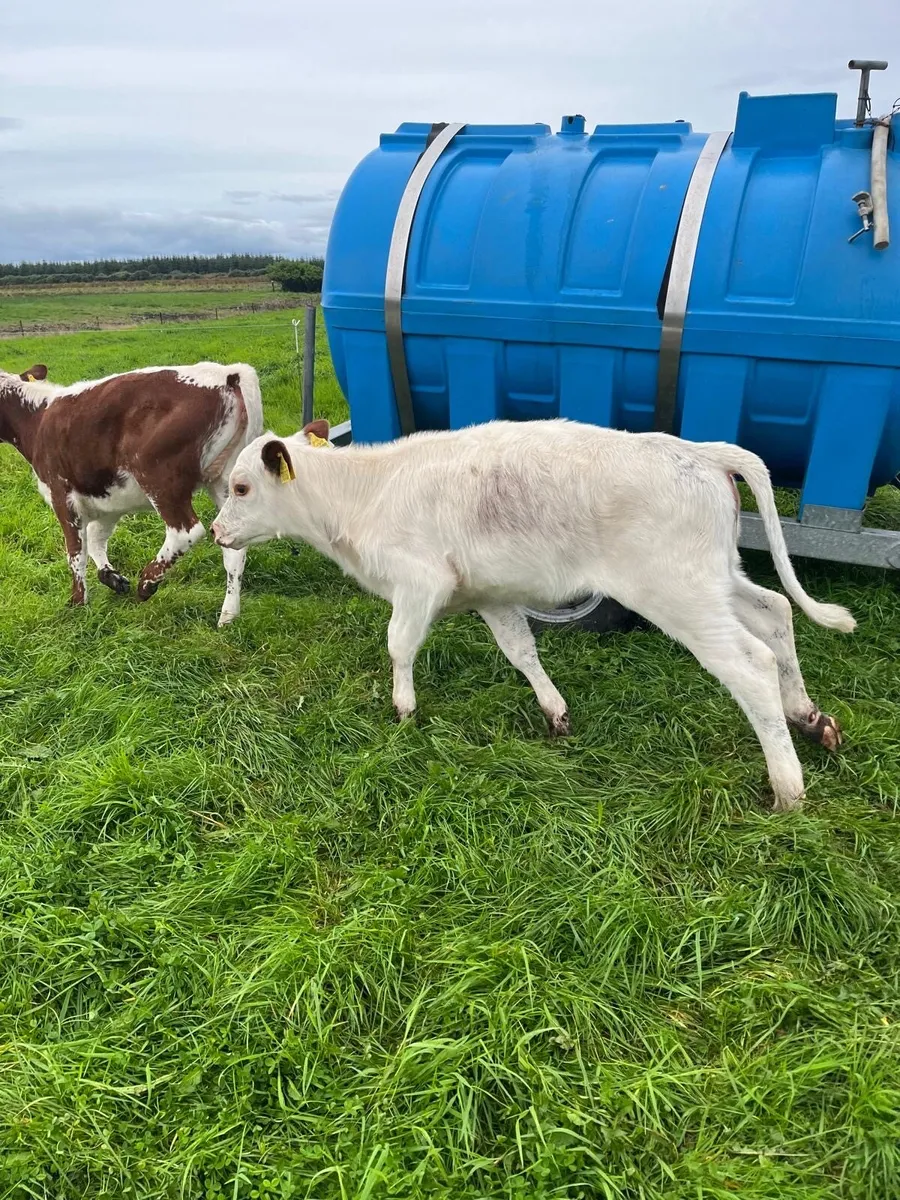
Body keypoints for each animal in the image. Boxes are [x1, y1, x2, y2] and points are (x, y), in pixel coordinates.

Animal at [0, 361, 264, 626]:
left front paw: (78, 603)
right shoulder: (107, 500)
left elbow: (76, 551)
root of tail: (228, 373)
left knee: (186, 530)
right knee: (233, 548)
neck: (37, 419)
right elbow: (96, 539)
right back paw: (227, 617)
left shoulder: (61, 493)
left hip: (158, 474)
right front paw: (112, 578)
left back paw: (146, 583)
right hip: (226, 482)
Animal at [211, 418, 856, 812]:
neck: (366, 493)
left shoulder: (419, 583)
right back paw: (810, 717)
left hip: (682, 596)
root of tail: (698, 450)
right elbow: (521, 651)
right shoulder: (491, 595)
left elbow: (398, 645)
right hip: (716, 582)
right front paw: (555, 713)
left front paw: (403, 711)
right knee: (776, 612)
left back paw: (787, 786)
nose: (215, 532)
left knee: (752, 667)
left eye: (241, 488)